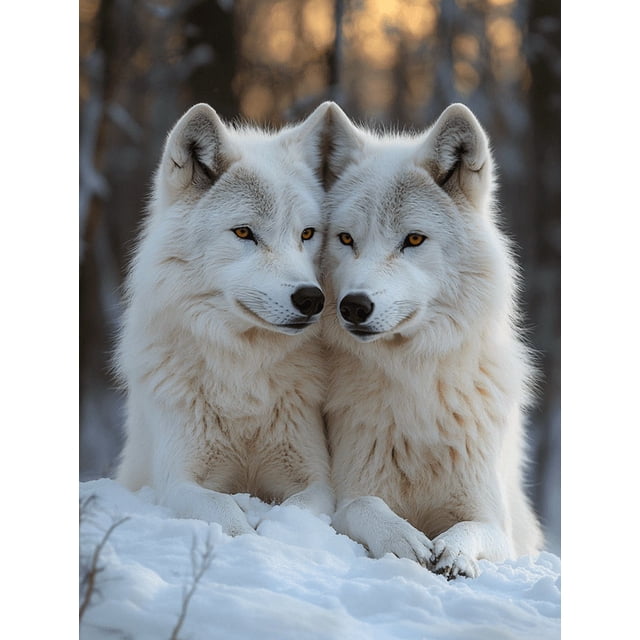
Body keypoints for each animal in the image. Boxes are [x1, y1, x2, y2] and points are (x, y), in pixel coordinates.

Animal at [115, 102, 335, 535]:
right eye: (244, 233)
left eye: (307, 234)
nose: (311, 298)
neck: (244, 374)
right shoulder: (177, 482)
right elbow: (225, 512)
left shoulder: (317, 478)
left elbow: (295, 511)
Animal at [321, 103, 543, 578]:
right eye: (346, 239)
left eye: (414, 239)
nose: (354, 306)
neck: (416, 380)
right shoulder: (346, 497)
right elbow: (367, 506)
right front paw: (405, 542)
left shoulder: (493, 522)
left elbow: (471, 529)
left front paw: (454, 553)